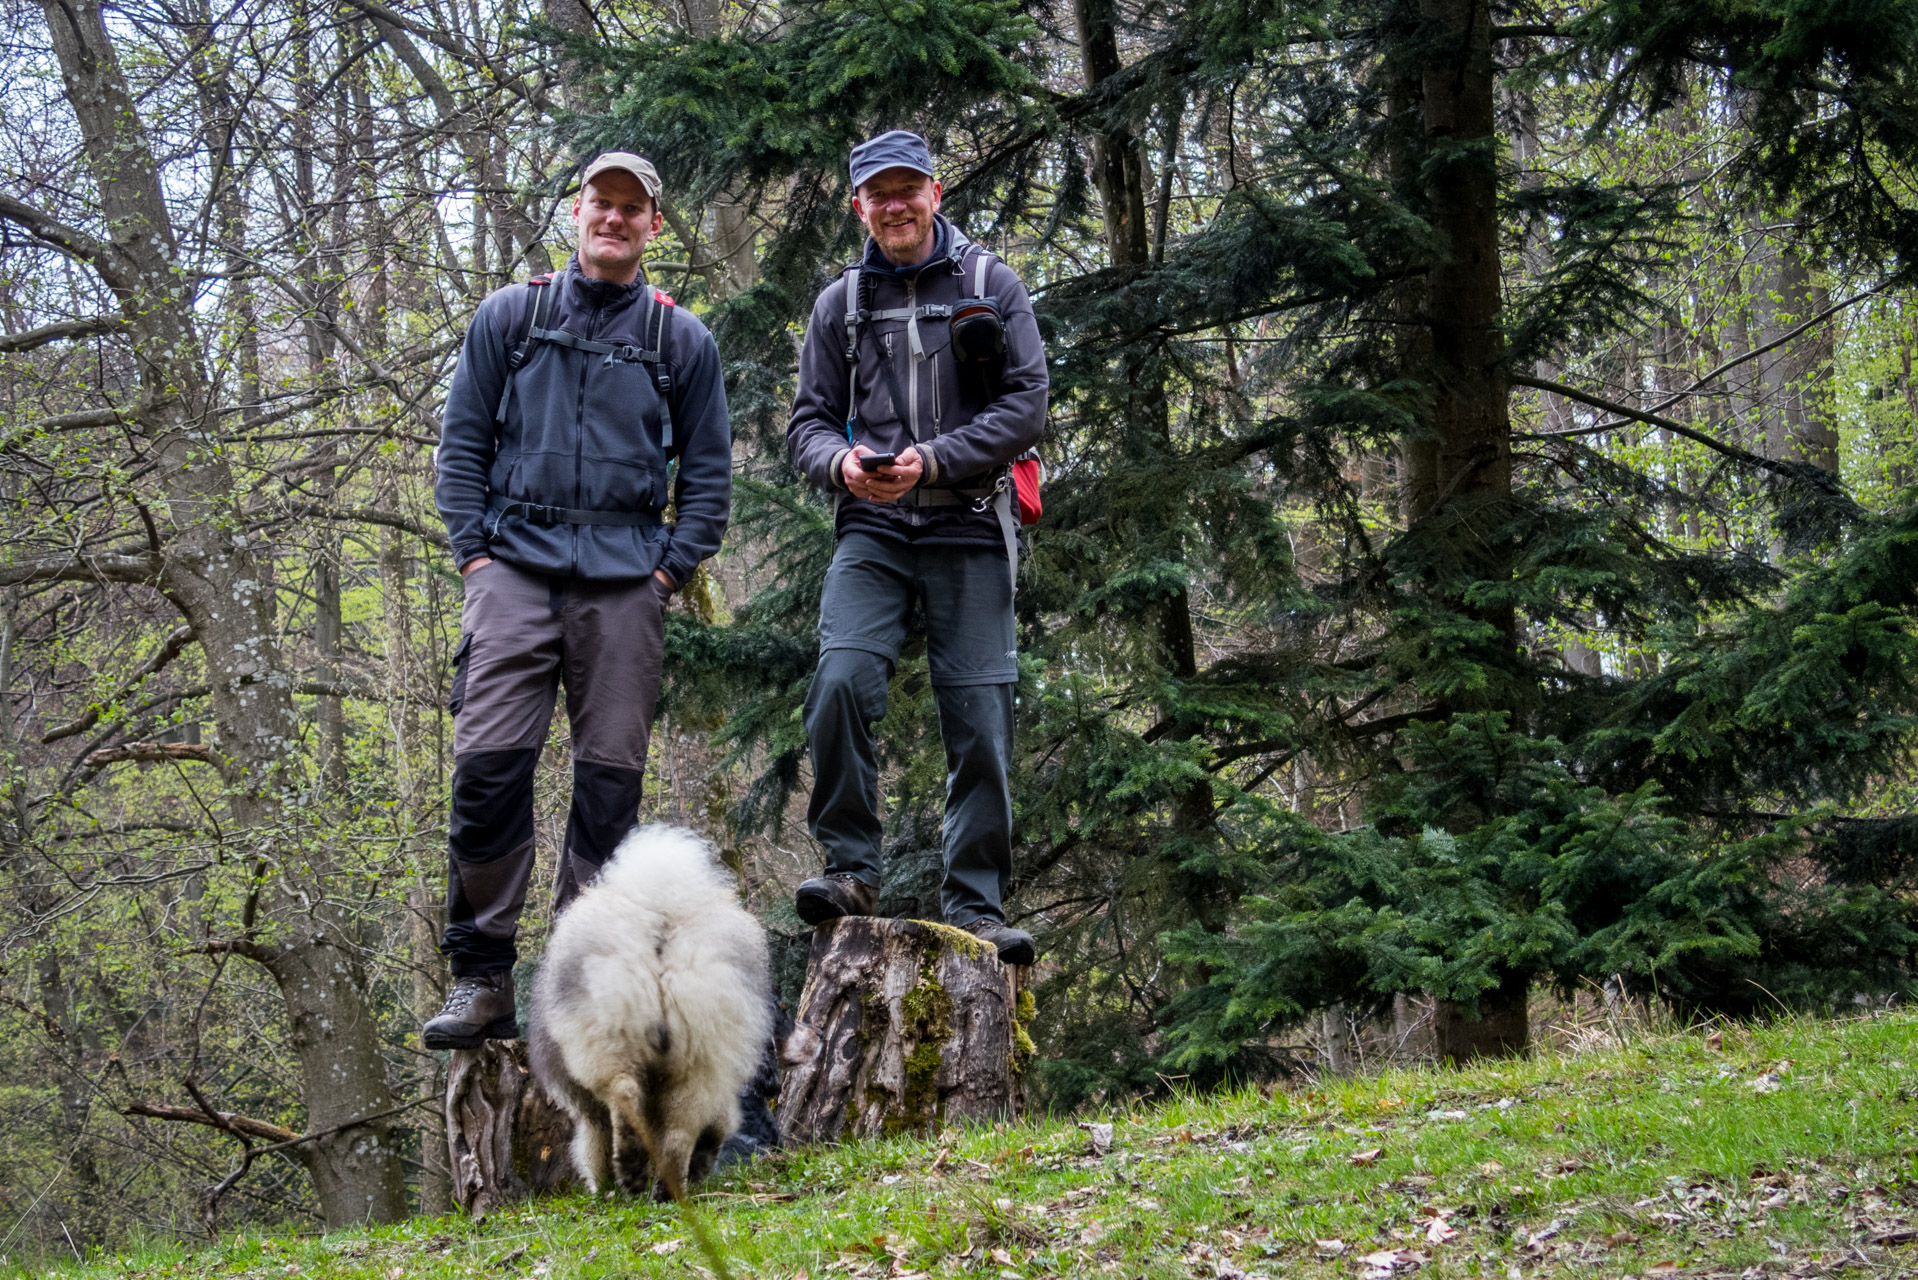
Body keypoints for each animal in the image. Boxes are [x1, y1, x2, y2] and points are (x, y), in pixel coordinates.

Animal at [528, 824, 773, 1199]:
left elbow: (594, 1146)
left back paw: (630, 1168)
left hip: (608, 1043)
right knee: (679, 1134)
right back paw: (666, 1189)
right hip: (700, 1056)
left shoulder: (589, 1113)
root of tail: (661, 916)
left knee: (623, 1095)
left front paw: (603, 1186)